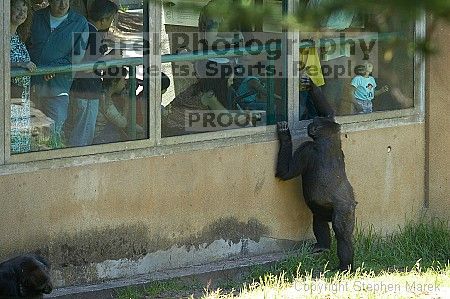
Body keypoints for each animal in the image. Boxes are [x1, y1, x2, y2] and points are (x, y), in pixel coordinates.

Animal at [276, 118, 356, 272]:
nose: (309, 124)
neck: (328, 139)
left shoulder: (307, 149)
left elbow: (286, 173)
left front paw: (285, 135)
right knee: (320, 219)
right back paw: (323, 247)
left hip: (345, 210)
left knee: (342, 235)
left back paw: (344, 266)